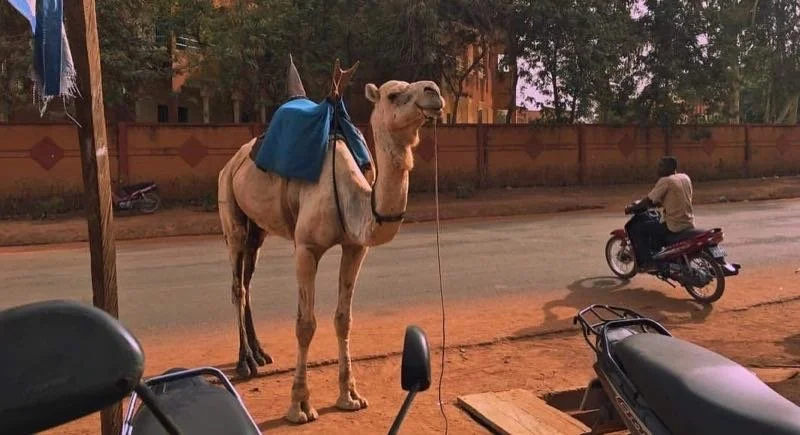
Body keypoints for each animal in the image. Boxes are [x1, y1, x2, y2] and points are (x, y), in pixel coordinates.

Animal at [217, 55, 444, 423]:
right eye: (394, 94)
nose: (433, 91)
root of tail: (233, 160)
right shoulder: (306, 248)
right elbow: (305, 324)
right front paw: (299, 405)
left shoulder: (355, 247)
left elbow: (343, 319)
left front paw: (350, 396)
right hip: (230, 211)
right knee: (237, 284)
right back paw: (245, 361)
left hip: (258, 229)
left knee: (248, 279)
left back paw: (261, 353)